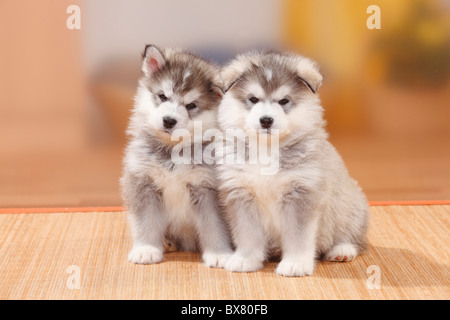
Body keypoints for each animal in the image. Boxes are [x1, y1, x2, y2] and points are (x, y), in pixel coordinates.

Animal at [120, 45, 232, 268]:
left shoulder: (208, 188)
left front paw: (218, 253)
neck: (173, 151)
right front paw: (147, 249)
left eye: (191, 105)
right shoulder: (143, 182)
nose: (169, 120)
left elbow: (214, 225)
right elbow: (146, 222)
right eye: (162, 96)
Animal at [218, 51, 370, 276]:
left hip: (351, 209)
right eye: (253, 99)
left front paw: (295, 264)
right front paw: (246, 260)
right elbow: (248, 234)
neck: (267, 149)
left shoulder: (301, 195)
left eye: (284, 101)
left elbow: (298, 237)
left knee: (354, 239)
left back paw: (342, 250)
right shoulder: (241, 195)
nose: (266, 120)